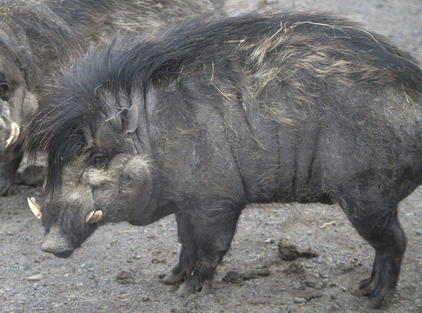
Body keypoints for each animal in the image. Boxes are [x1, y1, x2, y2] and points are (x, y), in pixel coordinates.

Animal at [24, 11, 422, 308]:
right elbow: (185, 241)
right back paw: (363, 289)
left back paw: (369, 298)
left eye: (99, 156)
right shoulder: (186, 202)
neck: (153, 135)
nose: (49, 245)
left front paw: (190, 293)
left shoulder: (217, 200)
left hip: (365, 194)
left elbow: (211, 247)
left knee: (394, 242)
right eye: (57, 162)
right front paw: (168, 279)